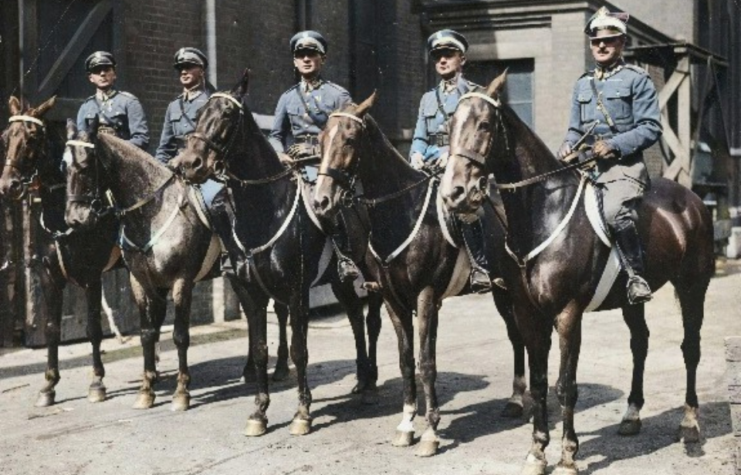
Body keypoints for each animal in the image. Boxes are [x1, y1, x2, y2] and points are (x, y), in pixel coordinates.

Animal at [0, 96, 120, 406]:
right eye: (6, 137)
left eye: (32, 137)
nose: (9, 185)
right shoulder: (49, 276)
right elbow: (52, 328)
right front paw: (48, 385)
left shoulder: (92, 276)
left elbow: (93, 327)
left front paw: (97, 382)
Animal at [173, 69, 382, 436]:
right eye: (198, 115)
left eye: (227, 116)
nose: (190, 164)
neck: (266, 210)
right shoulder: (251, 291)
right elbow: (259, 350)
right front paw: (259, 412)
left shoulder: (296, 291)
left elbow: (300, 350)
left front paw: (302, 413)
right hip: (340, 281)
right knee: (356, 318)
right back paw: (360, 378)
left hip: (371, 272)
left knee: (372, 320)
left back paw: (370, 383)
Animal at [312, 94, 528, 458]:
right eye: (321, 139)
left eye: (350, 140)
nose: (321, 200)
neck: (403, 211)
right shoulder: (392, 300)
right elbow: (406, 361)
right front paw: (406, 425)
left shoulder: (426, 296)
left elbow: (427, 362)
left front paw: (430, 433)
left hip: (507, 290)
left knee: (518, 336)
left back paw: (517, 399)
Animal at [440, 71, 712, 475]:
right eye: (449, 126)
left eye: (485, 124)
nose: (454, 193)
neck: (544, 212)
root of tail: (692, 200)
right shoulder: (528, 314)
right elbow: (539, 383)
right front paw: (537, 452)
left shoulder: (568, 314)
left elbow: (565, 384)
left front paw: (568, 455)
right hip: (632, 301)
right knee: (640, 343)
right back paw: (631, 415)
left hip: (693, 287)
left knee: (690, 348)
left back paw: (690, 423)